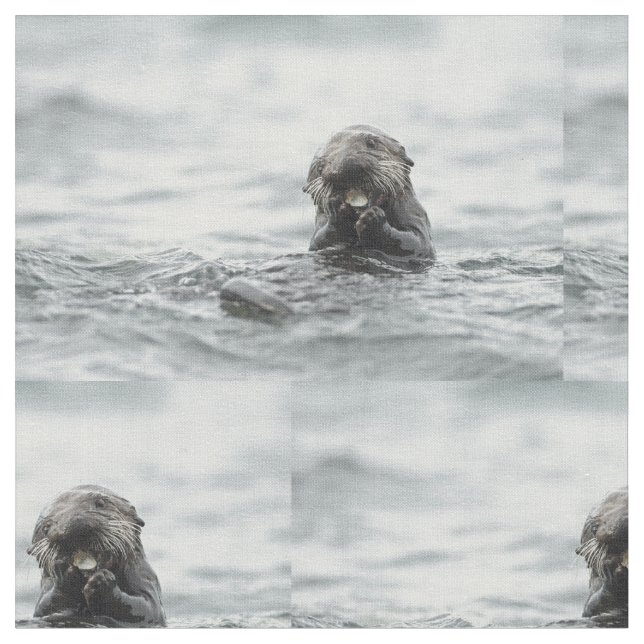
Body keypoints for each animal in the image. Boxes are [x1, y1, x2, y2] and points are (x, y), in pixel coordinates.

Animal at [28, 485, 165, 627]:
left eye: (100, 503)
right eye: (45, 527)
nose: (69, 527)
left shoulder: (145, 577)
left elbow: (147, 607)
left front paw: (102, 582)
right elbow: (45, 608)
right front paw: (65, 576)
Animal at [303, 125, 436, 265]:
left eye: (371, 143)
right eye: (319, 167)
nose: (342, 167)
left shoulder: (413, 212)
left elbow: (417, 242)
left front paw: (373, 218)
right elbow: (318, 242)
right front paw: (338, 213)